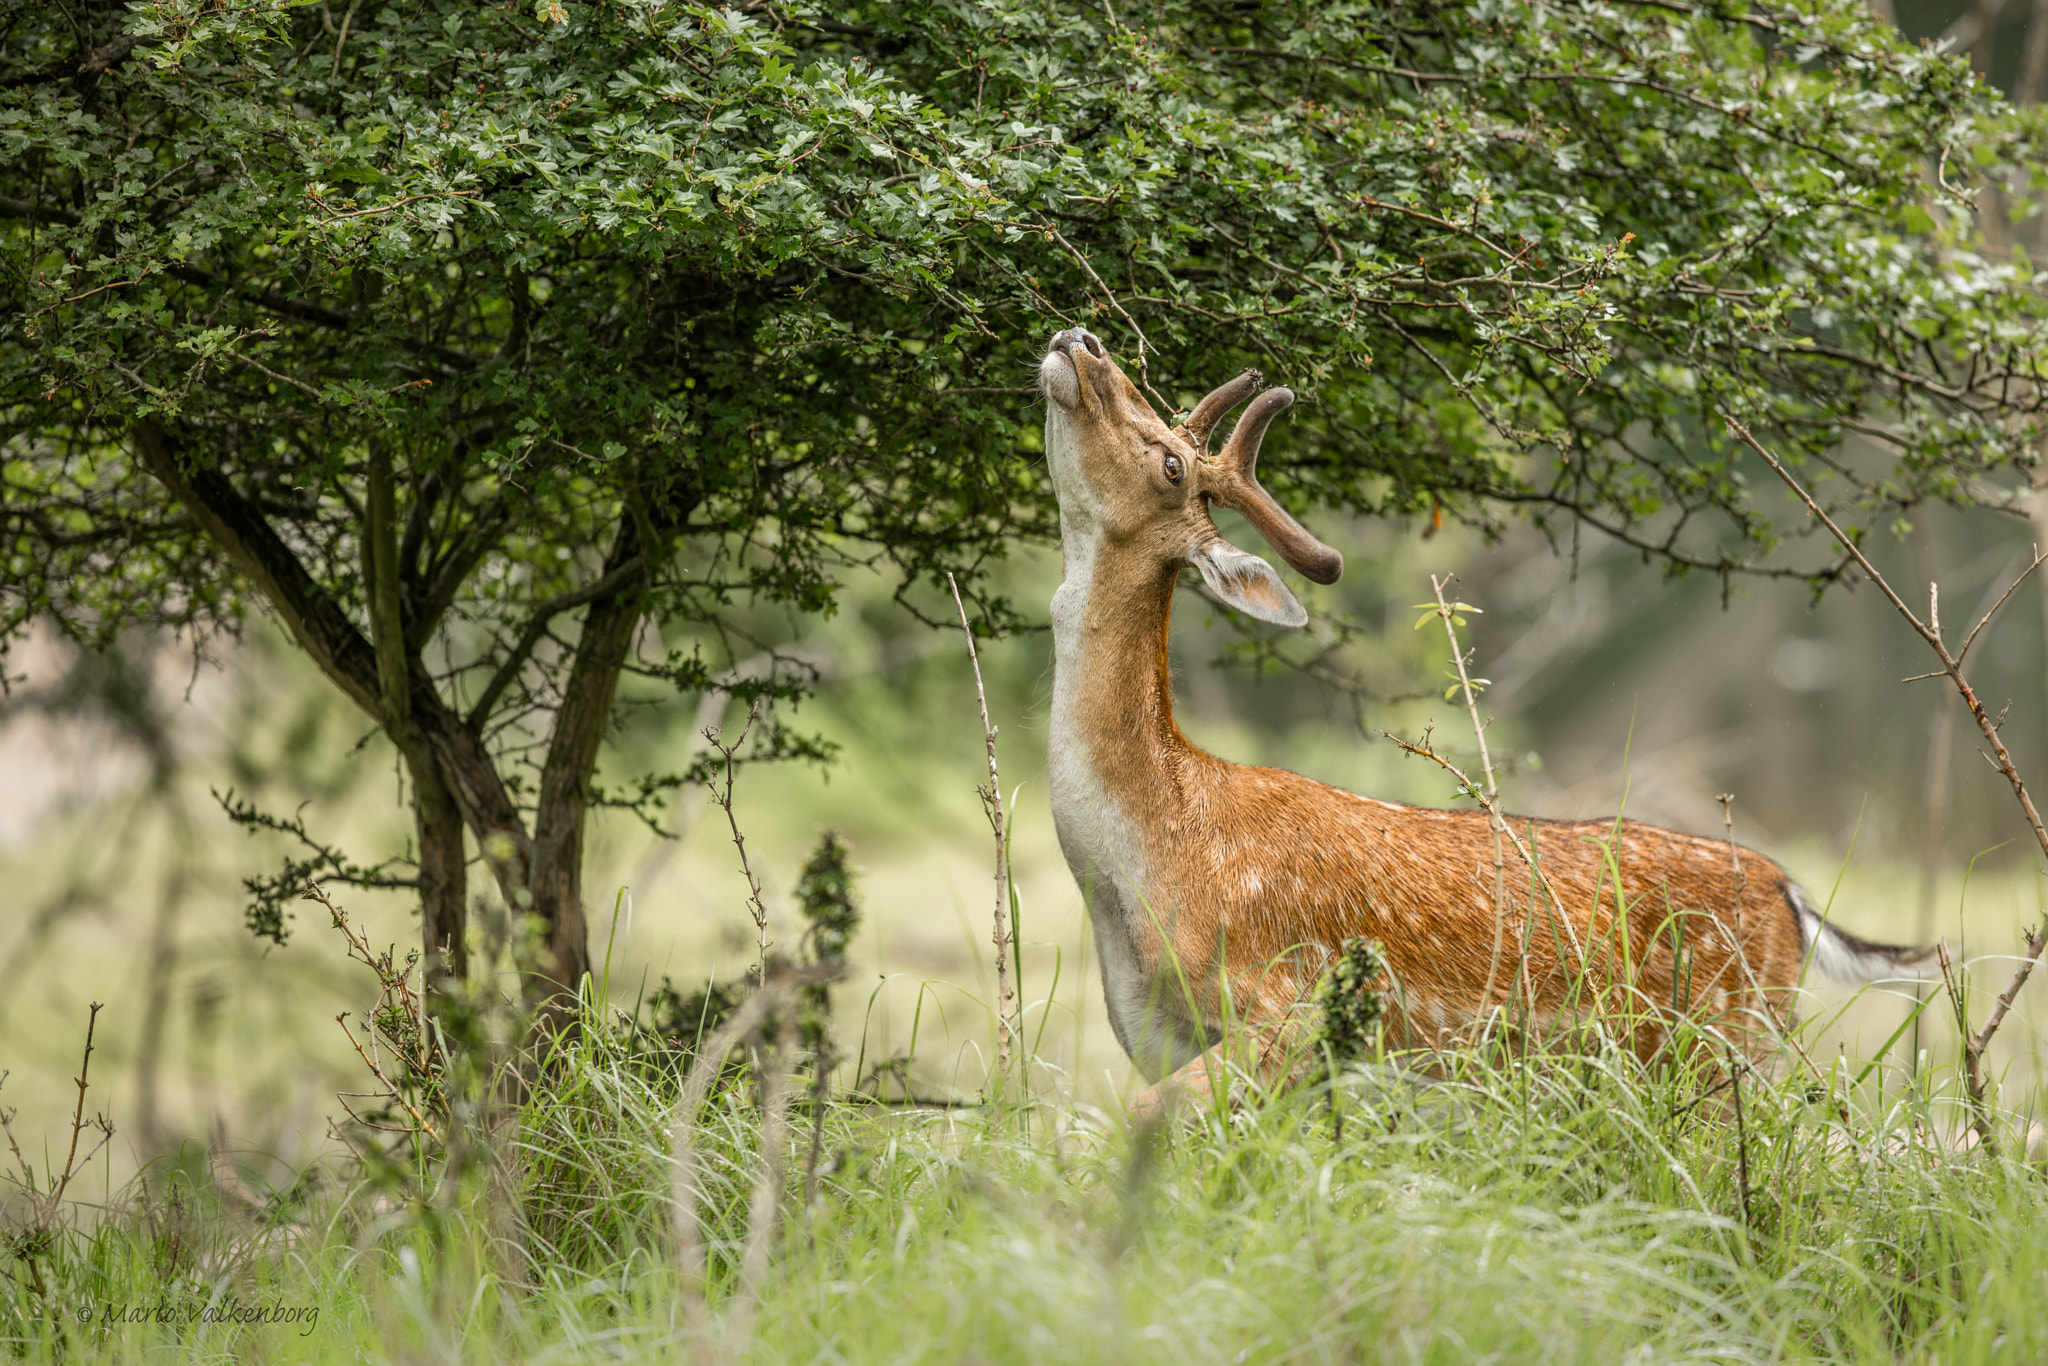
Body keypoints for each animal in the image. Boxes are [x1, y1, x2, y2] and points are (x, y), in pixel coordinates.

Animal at [1040, 325, 1916, 1114]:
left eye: (1170, 462)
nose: (1080, 339)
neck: (1151, 858)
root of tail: (1791, 894)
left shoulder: (1292, 1014)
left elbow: (1134, 1119)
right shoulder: (1157, 1041)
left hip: (1727, 1046)